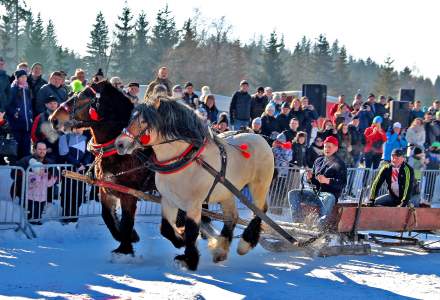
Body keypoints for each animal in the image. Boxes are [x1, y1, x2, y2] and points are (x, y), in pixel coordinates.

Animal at [49, 79, 156, 255]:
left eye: (84, 97)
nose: (54, 119)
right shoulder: (106, 189)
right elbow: (107, 217)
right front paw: (131, 237)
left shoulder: (129, 194)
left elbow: (127, 222)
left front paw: (124, 249)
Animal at [115, 97, 276, 270]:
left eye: (144, 121)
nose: (119, 144)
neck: (184, 160)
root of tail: (257, 136)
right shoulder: (168, 200)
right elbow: (165, 228)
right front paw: (180, 240)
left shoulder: (194, 204)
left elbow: (192, 230)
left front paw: (189, 260)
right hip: (226, 192)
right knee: (232, 217)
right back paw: (220, 251)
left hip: (259, 185)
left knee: (260, 211)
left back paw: (245, 244)